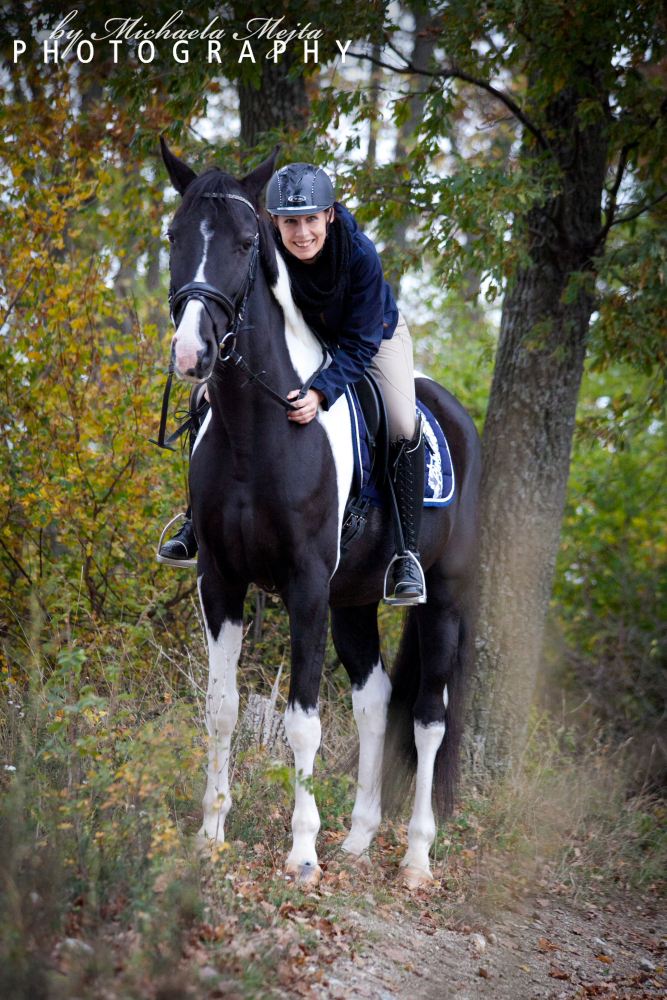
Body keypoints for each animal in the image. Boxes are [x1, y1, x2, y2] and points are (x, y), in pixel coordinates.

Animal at [159, 139, 481, 889]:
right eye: (174, 237)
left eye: (245, 242)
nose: (191, 353)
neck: (258, 430)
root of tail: (456, 415)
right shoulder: (220, 581)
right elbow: (221, 710)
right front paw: (210, 834)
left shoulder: (304, 587)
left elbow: (303, 721)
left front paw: (301, 853)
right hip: (352, 601)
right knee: (374, 701)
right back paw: (359, 838)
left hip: (442, 598)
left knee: (428, 717)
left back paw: (414, 857)